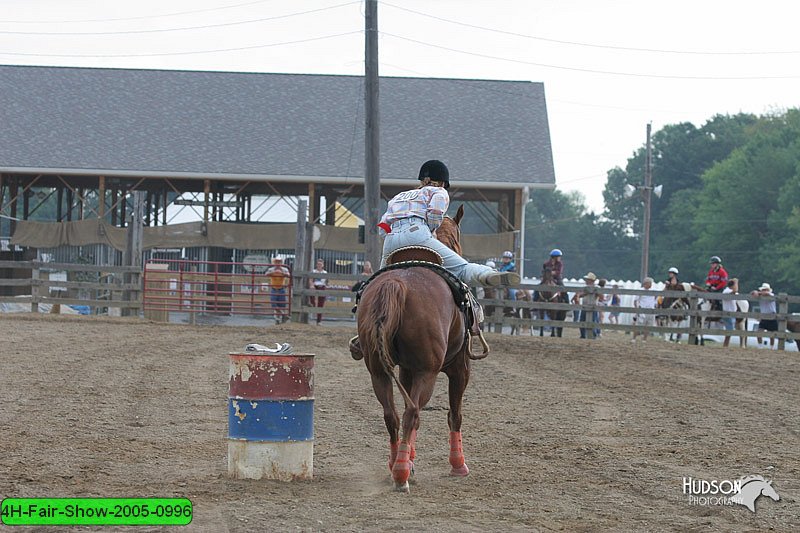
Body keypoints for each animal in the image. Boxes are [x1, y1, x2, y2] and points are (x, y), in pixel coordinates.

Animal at [356, 206, 482, 492]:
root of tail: (398, 285)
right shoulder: (460, 369)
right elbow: (455, 415)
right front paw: (458, 465)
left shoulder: (405, 370)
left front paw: (412, 458)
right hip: (429, 371)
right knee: (412, 413)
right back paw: (401, 474)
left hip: (378, 371)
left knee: (393, 415)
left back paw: (396, 465)